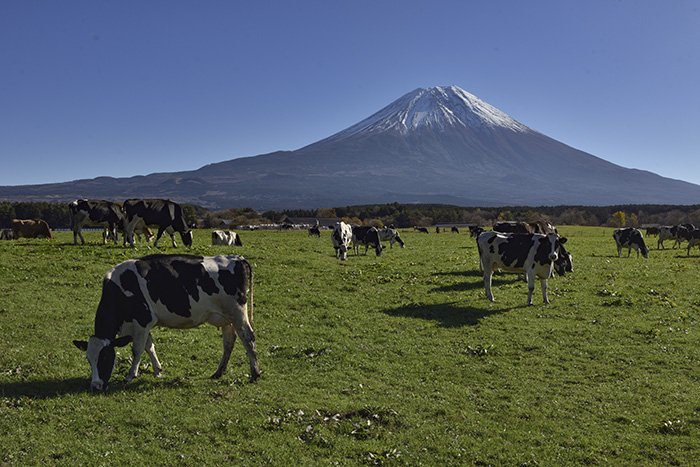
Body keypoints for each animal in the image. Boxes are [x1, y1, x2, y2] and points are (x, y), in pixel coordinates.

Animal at [72, 254, 258, 394]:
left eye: (104, 357)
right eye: (88, 359)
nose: (95, 386)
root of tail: (237, 258)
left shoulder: (142, 320)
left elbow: (137, 349)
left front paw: (131, 375)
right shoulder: (143, 324)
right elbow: (149, 346)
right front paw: (157, 371)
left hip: (238, 313)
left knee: (248, 338)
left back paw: (255, 374)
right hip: (226, 318)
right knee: (229, 341)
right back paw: (218, 373)